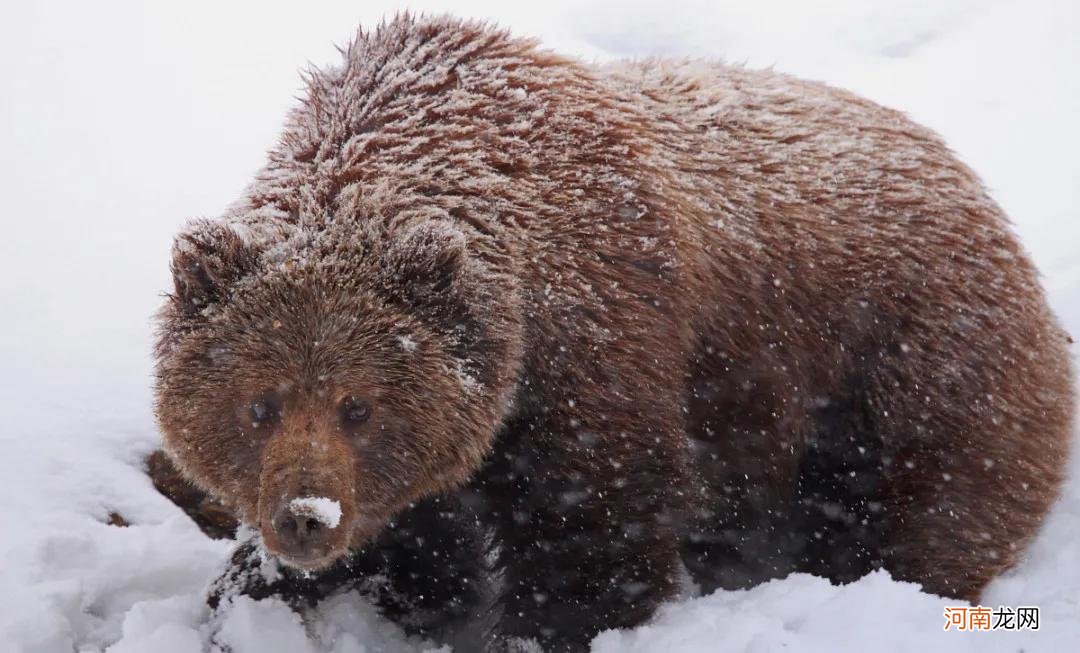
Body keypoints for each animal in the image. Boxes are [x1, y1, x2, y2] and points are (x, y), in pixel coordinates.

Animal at [152, 11, 1071, 651]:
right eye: (259, 403)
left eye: (359, 405)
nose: (306, 516)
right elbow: (418, 545)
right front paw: (256, 591)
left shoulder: (599, 346)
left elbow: (597, 526)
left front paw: (538, 626)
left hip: (912, 355)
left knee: (936, 500)